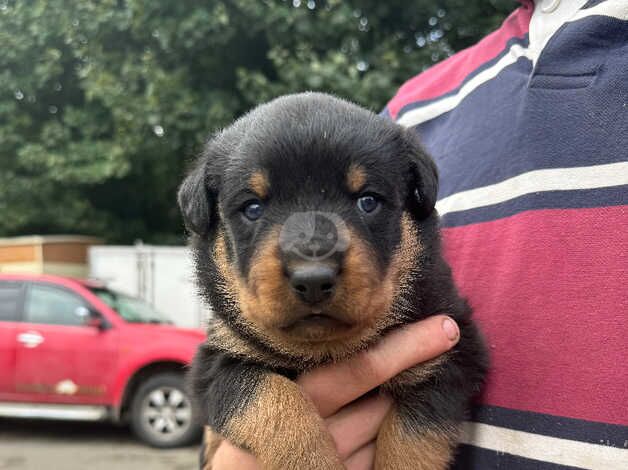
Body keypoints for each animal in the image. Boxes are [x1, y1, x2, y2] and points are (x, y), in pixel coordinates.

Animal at [179, 92, 488, 470]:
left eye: (367, 201)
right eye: (252, 208)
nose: (313, 280)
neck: (324, 351)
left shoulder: (452, 351)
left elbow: (412, 438)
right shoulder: (218, 361)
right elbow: (271, 398)